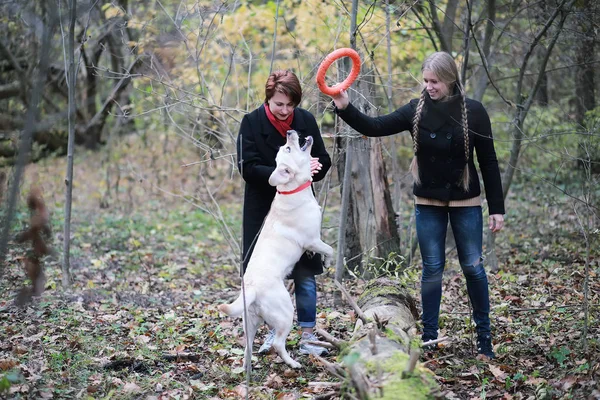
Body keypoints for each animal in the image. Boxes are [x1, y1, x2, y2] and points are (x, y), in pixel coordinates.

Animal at [219, 130, 336, 368]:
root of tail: (252, 289)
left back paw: (246, 369)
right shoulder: (312, 239)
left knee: (247, 348)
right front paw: (328, 261)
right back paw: (293, 363)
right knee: (277, 343)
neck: (292, 188)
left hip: (249, 323)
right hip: (285, 313)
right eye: (288, 148)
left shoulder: (312, 242)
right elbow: (330, 249)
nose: (290, 132)